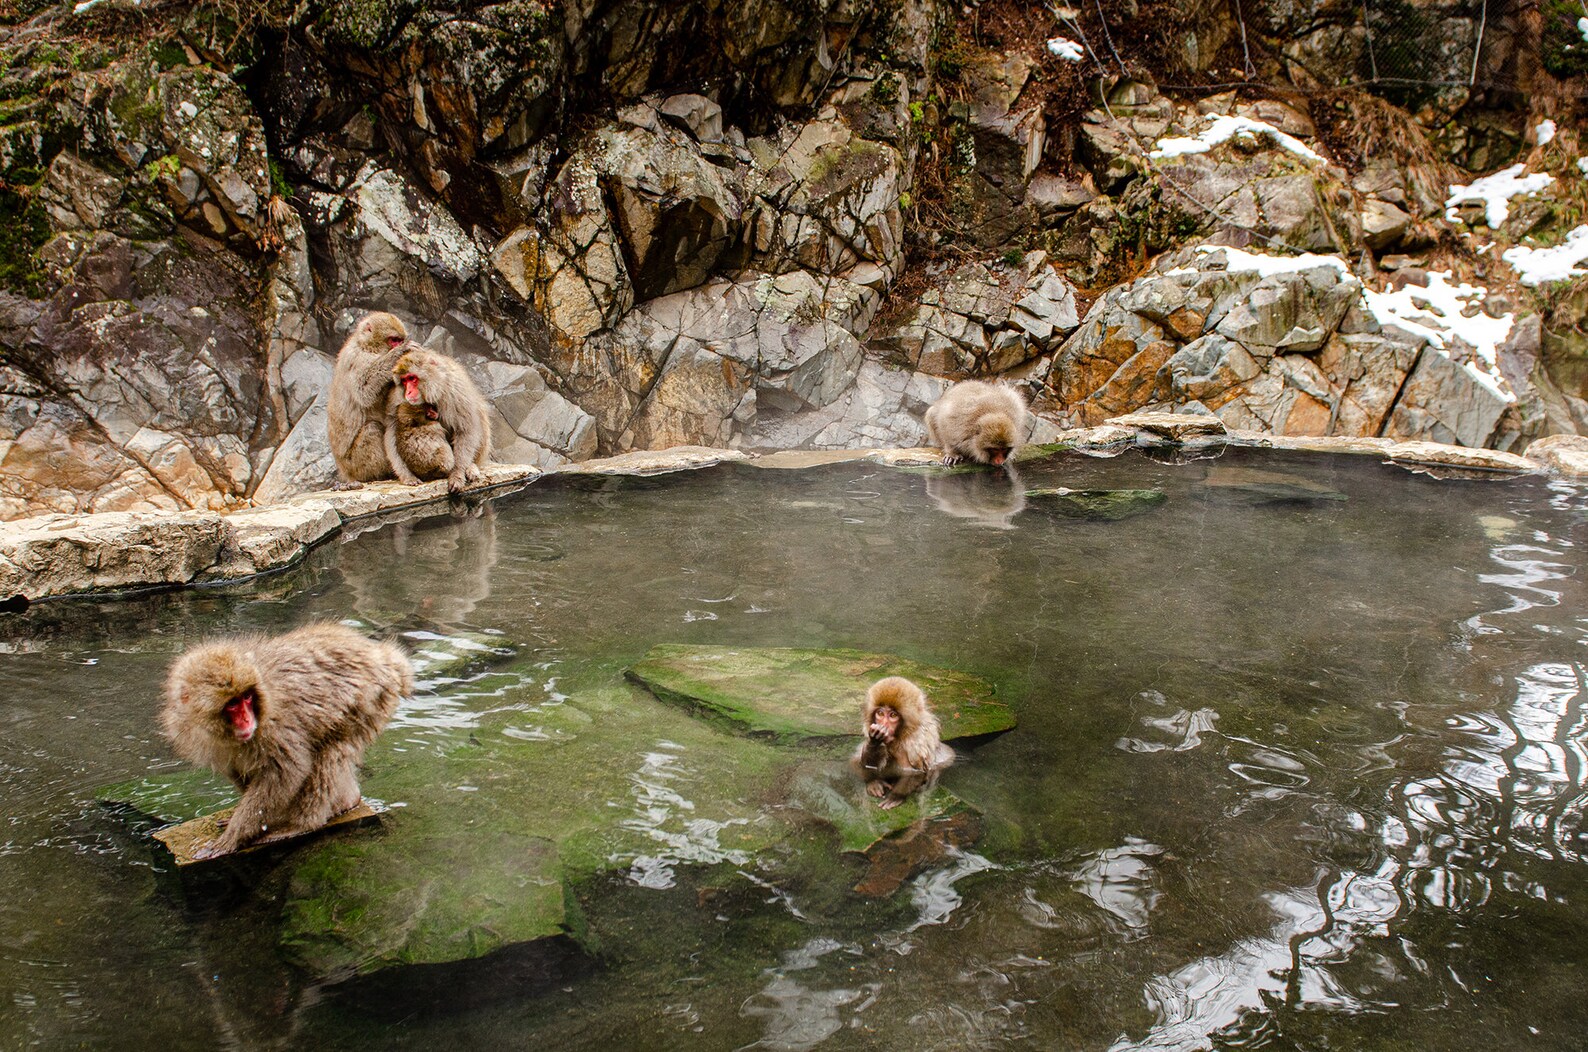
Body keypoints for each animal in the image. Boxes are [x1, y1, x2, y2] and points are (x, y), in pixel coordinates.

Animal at [160, 623, 413, 859]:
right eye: (232, 704)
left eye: (247, 697)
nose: (247, 720)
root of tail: (383, 655)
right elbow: (238, 771)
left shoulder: (275, 728)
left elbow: (287, 772)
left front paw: (234, 837)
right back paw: (347, 801)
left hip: (367, 699)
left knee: (330, 751)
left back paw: (303, 824)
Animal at [328, 311, 412, 486]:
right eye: (394, 340)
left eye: (399, 339)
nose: (399, 345)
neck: (366, 346)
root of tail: (345, 472)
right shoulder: (357, 360)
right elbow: (364, 393)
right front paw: (396, 355)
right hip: (356, 464)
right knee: (372, 428)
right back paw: (382, 474)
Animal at [389, 347, 492, 494]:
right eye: (404, 381)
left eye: (412, 378)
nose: (408, 392)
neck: (434, 388)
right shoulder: (397, 396)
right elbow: (391, 430)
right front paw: (408, 476)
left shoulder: (456, 388)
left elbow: (466, 429)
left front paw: (457, 473)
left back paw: (471, 466)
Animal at [852, 676, 955, 809]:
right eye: (880, 713)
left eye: (893, 715)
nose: (884, 724)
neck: (899, 738)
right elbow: (862, 763)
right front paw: (875, 742)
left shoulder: (919, 741)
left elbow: (914, 771)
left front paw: (896, 796)